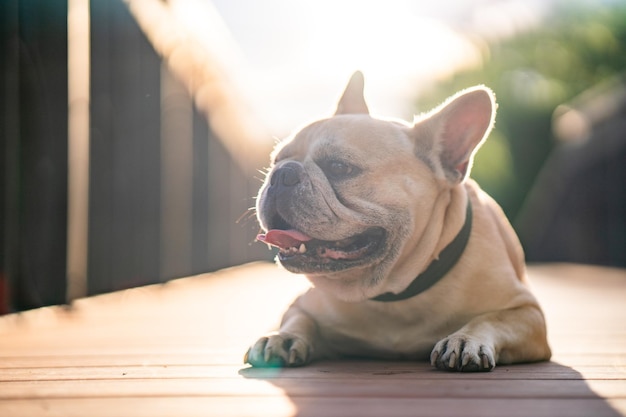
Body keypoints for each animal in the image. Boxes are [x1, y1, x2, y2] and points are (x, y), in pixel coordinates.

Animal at [241, 71, 548, 370]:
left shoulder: (528, 312)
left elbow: (491, 319)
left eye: (339, 167)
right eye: (276, 160)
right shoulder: (302, 304)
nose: (281, 173)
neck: (394, 293)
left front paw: (465, 340)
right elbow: (298, 318)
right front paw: (282, 336)